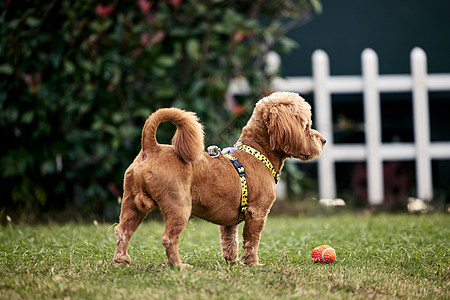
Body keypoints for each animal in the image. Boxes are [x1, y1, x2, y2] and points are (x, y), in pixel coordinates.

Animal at [112, 91, 324, 268]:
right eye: (306, 125)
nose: (323, 140)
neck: (257, 153)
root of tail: (151, 148)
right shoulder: (257, 214)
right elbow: (251, 241)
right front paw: (253, 264)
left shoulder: (229, 222)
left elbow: (230, 241)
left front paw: (232, 262)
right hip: (179, 207)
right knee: (168, 238)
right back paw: (179, 266)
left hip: (131, 204)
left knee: (123, 231)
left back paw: (120, 260)